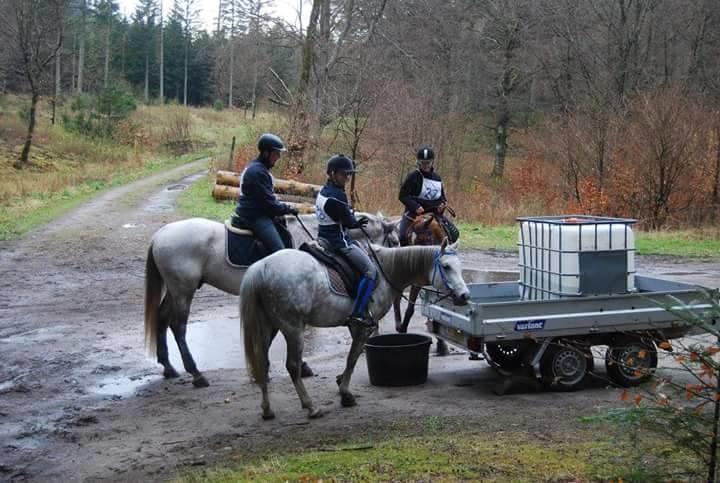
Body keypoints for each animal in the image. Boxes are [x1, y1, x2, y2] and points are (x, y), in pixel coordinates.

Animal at [143, 214, 396, 388]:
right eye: (394, 241)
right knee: (178, 326)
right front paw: (301, 366)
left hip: (176, 290)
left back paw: (168, 367)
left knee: (162, 319)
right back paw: (196, 373)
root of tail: (160, 234)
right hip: (182, 291)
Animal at [239, 240, 470, 422]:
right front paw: (345, 394)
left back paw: (267, 410)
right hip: (292, 329)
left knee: (263, 363)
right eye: (446, 267)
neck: (385, 271)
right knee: (293, 366)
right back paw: (311, 407)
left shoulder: (355, 325)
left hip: (269, 327)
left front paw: (341, 380)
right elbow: (353, 357)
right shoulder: (363, 326)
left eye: (459, 267)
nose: (464, 296)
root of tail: (262, 267)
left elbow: (355, 355)